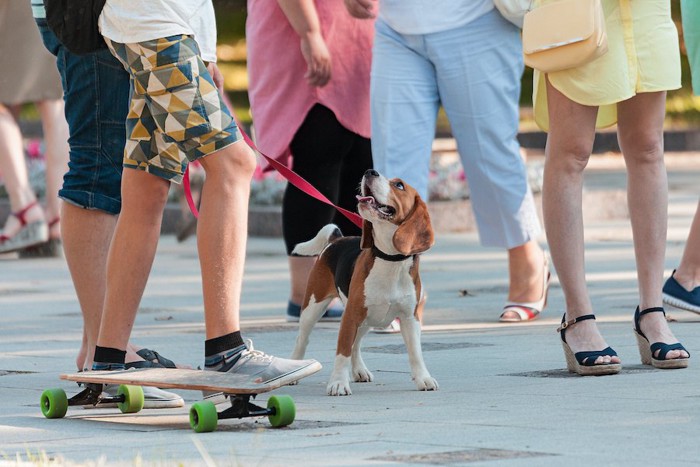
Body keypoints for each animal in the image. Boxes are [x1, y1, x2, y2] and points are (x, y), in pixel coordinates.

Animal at [290, 170, 438, 396]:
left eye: (399, 185)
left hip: (367, 318)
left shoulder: (410, 318)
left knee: (356, 344)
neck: (389, 259)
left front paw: (423, 378)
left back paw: (359, 370)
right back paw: (296, 368)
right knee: (302, 339)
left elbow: (415, 352)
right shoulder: (350, 316)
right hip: (313, 307)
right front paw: (338, 383)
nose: (370, 172)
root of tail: (336, 239)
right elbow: (342, 352)